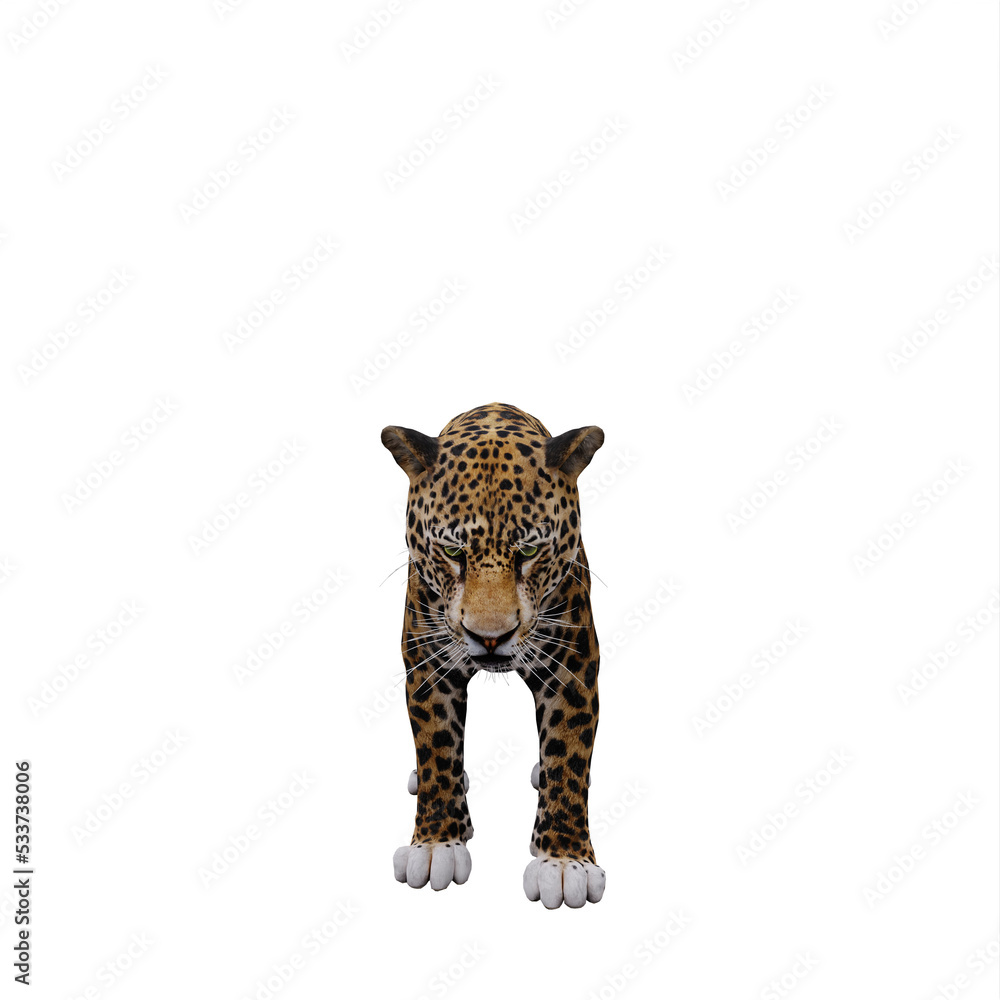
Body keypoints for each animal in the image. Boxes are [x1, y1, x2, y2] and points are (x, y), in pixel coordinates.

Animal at [381, 401, 607, 908]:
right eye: (451, 550)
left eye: (529, 549)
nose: (489, 637)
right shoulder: (428, 665)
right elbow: (438, 749)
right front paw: (436, 845)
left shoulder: (572, 669)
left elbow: (568, 756)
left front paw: (565, 863)